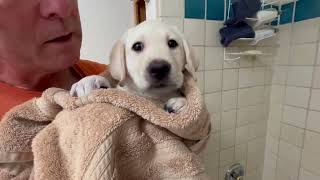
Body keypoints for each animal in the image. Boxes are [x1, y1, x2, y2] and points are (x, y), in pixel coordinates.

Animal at [71, 20, 199, 113]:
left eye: (172, 43)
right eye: (137, 46)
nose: (159, 69)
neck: (153, 96)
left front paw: (180, 103)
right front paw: (87, 82)